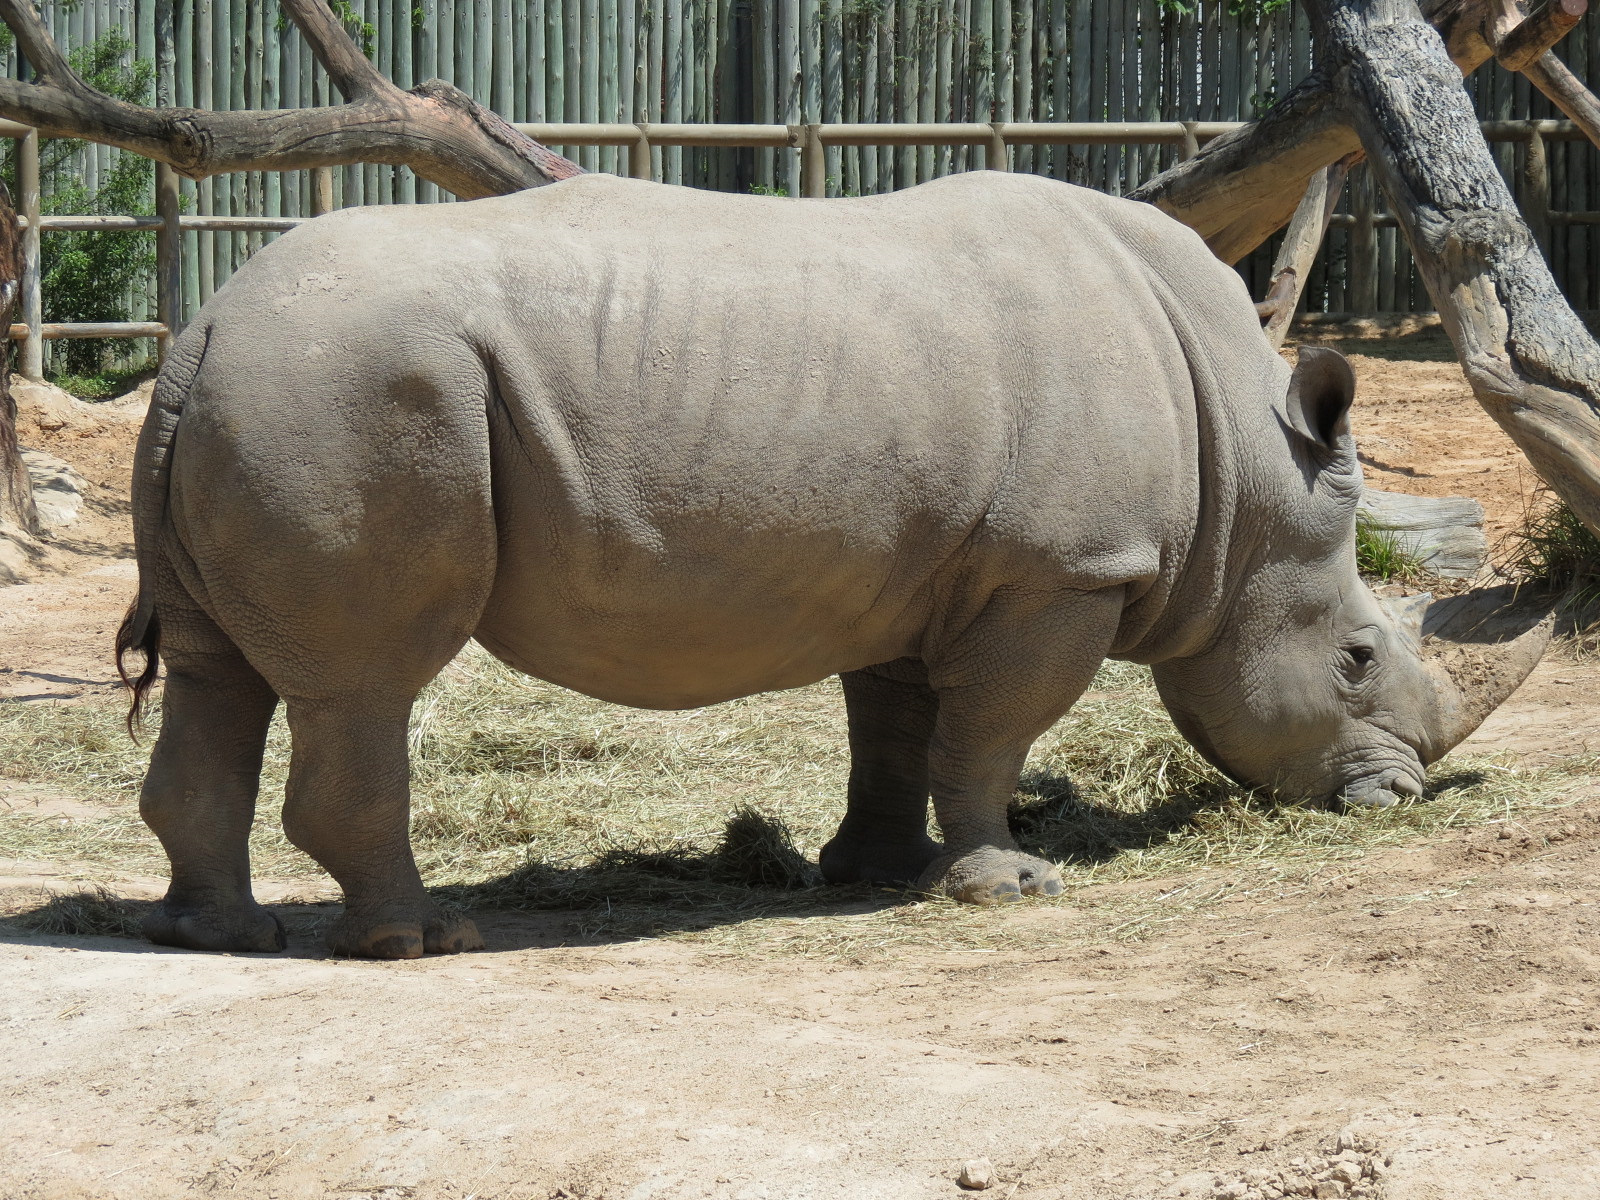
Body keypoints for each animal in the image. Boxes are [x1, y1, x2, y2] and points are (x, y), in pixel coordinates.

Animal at [117, 171, 1548, 959]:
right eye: (1354, 657)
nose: (1403, 796)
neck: (1248, 478)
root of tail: (203, 328)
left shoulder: (928, 569)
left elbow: (896, 725)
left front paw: (868, 871)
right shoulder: (1059, 572)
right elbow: (990, 734)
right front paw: (1007, 885)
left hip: (270, 391)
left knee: (219, 671)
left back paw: (220, 934)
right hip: (357, 396)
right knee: (364, 683)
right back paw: (419, 941)